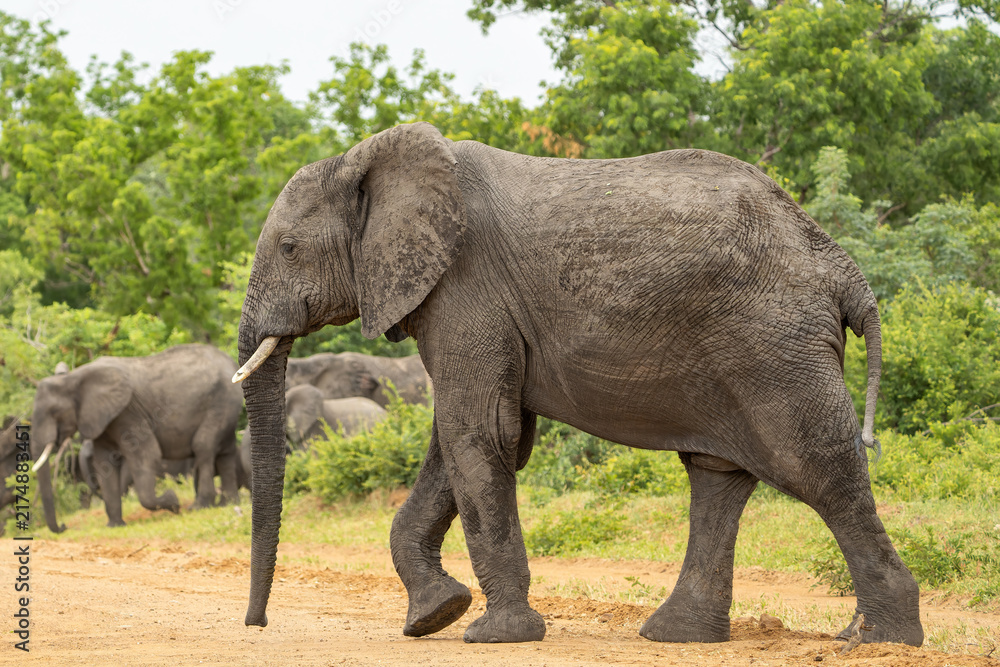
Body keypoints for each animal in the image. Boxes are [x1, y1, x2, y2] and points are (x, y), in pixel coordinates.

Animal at [31, 344, 243, 531]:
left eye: (54, 412)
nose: (64, 526)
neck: (74, 378)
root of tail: (231, 361)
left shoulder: (128, 412)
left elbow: (147, 456)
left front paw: (173, 502)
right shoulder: (104, 419)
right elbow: (104, 464)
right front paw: (115, 526)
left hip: (222, 401)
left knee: (203, 446)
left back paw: (199, 506)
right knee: (226, 452)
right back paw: (228, 503)